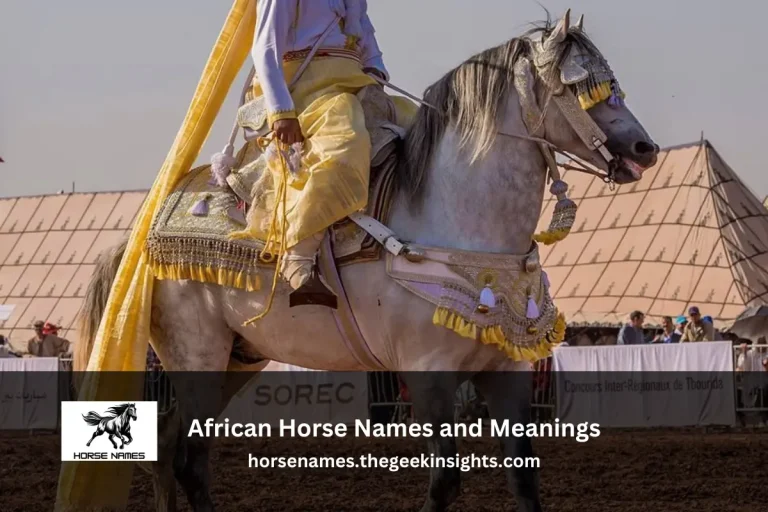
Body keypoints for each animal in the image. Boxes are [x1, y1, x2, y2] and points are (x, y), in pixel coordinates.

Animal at [76, 11, 658, 512]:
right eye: (580, 86)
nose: (644, 148)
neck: (457, 217)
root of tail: (140, 237)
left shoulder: (507, 371)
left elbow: (524, 478)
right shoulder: (428, 374)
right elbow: (445, 483)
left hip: (238, 359)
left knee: (173, 449)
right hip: (198, 354)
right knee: (183, 460)